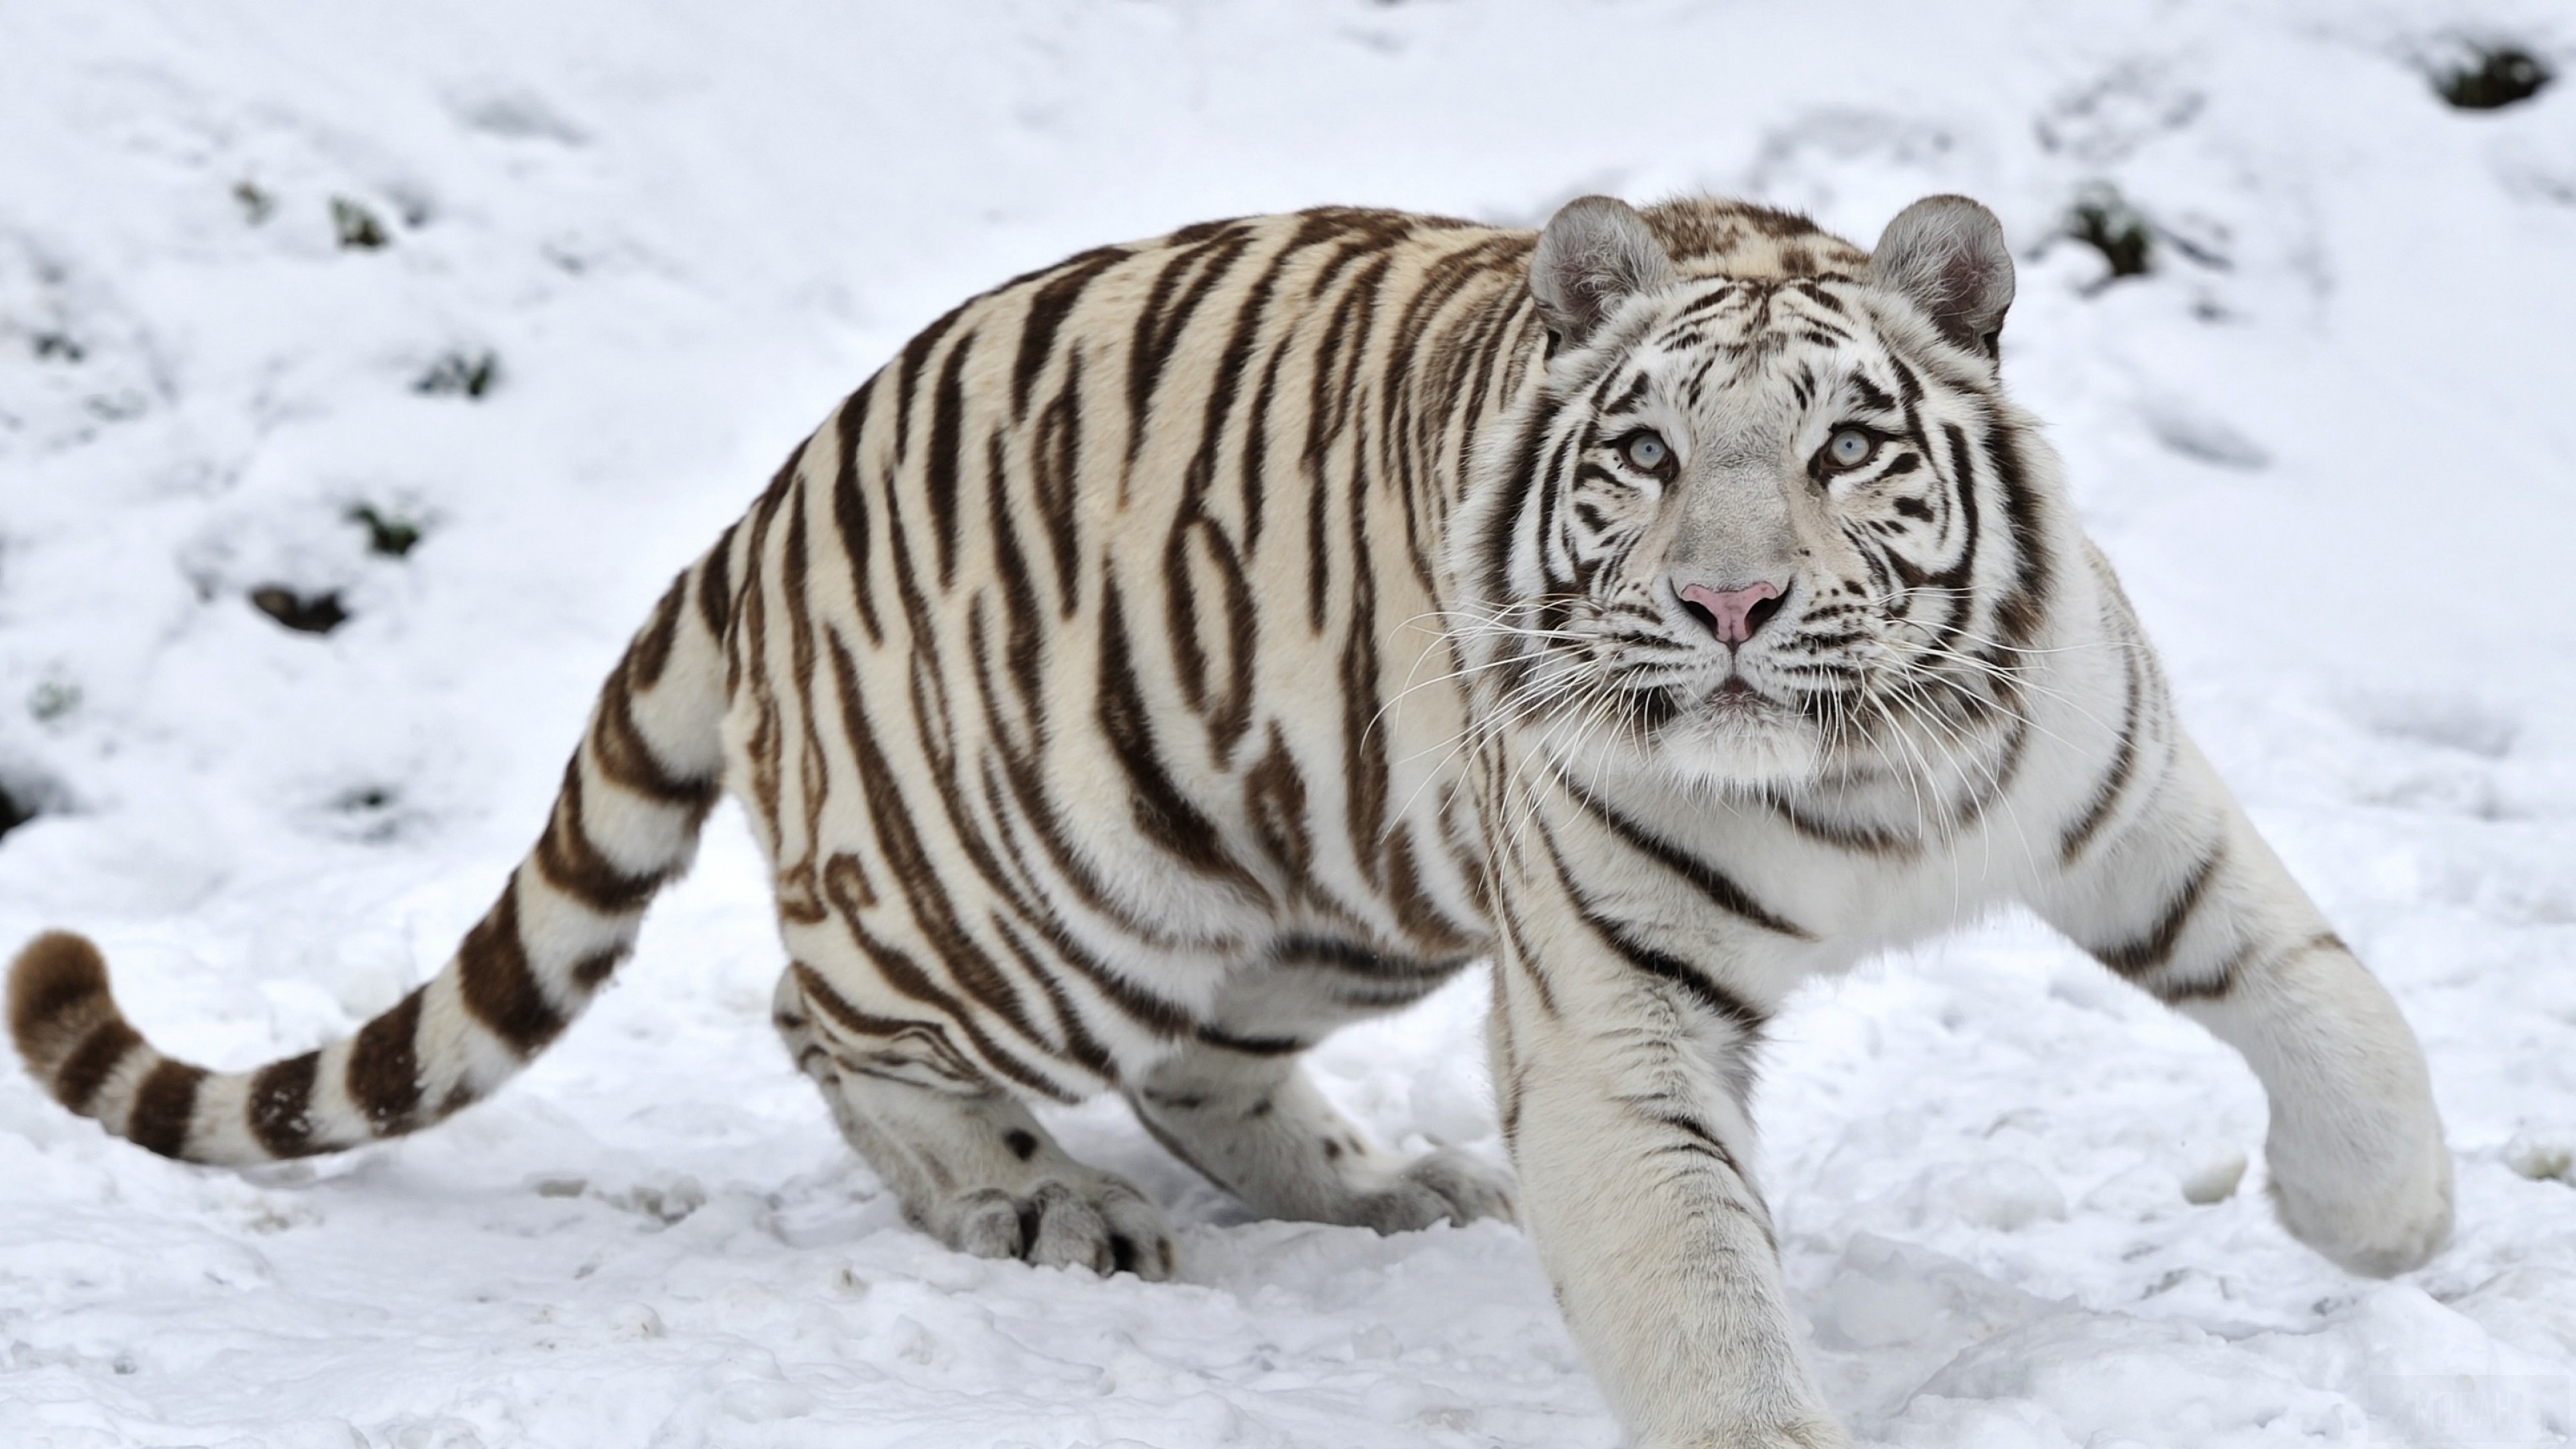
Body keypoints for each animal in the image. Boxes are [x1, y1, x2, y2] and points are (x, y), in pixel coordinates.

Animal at [7, 193, 2454, 1447]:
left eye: (1849, 447)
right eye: (1650, 456)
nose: (1732, 603)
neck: (1850, 774)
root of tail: (768, 498)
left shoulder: (2117, 790)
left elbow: (2332, 997)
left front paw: (2380, 1232)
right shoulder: (1616, 1020)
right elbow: (1702, 1298)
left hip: (1316, 877)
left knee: (1202, 1067)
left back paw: (1380, 1192)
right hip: (1025, 886)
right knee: (832, 1015)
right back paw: (1037, 1205)